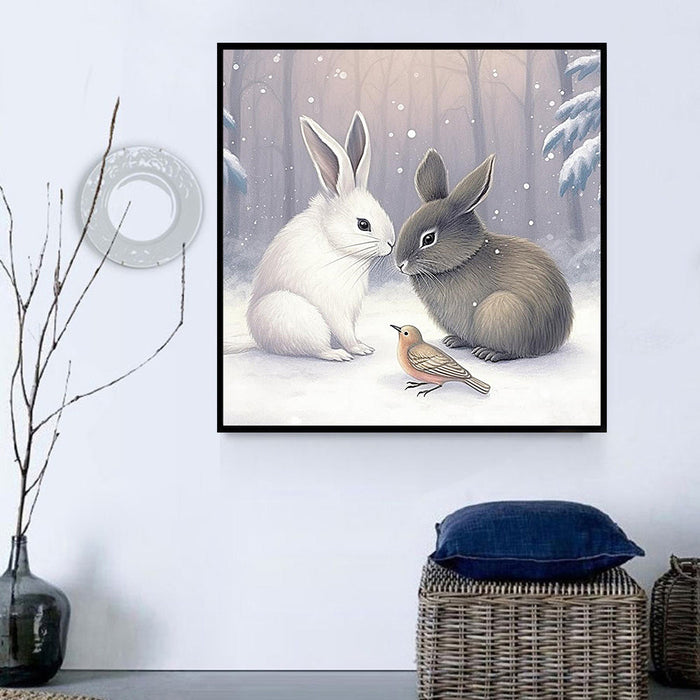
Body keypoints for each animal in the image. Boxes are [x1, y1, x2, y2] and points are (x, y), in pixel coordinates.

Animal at [241, 112, 395, 361]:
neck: (336, 246)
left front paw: (363, 345)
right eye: (363, 225)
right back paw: (338, 354)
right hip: (300, 316)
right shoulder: (335, 305)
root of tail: (259, 339)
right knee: (317, 348)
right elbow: (345, 331)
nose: (391, 244)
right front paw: (359, 349)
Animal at [394, 149, 573, 362]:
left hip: (503, 307)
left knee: (516, 352)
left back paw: (488, 352)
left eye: (428, 238)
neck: (465, 258)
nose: (400, 264)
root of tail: (551, 341)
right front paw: (453, 341)